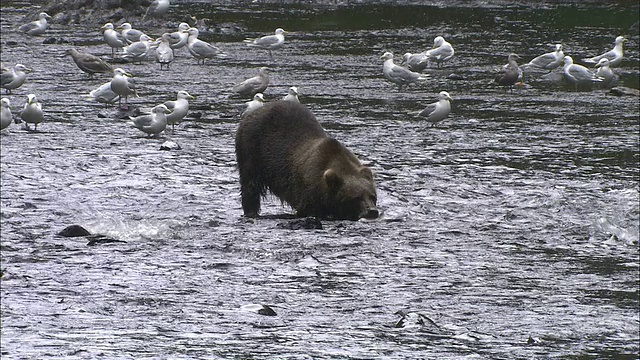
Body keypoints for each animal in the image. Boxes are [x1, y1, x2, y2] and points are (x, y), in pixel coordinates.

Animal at [235, 100, 378, 221]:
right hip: (252, 150)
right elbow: (306, 210)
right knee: (250, 186)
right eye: (356, 197)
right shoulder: (308, 192)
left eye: (373, 196)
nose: (372, 211)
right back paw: (251, 211)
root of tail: (252, 113)